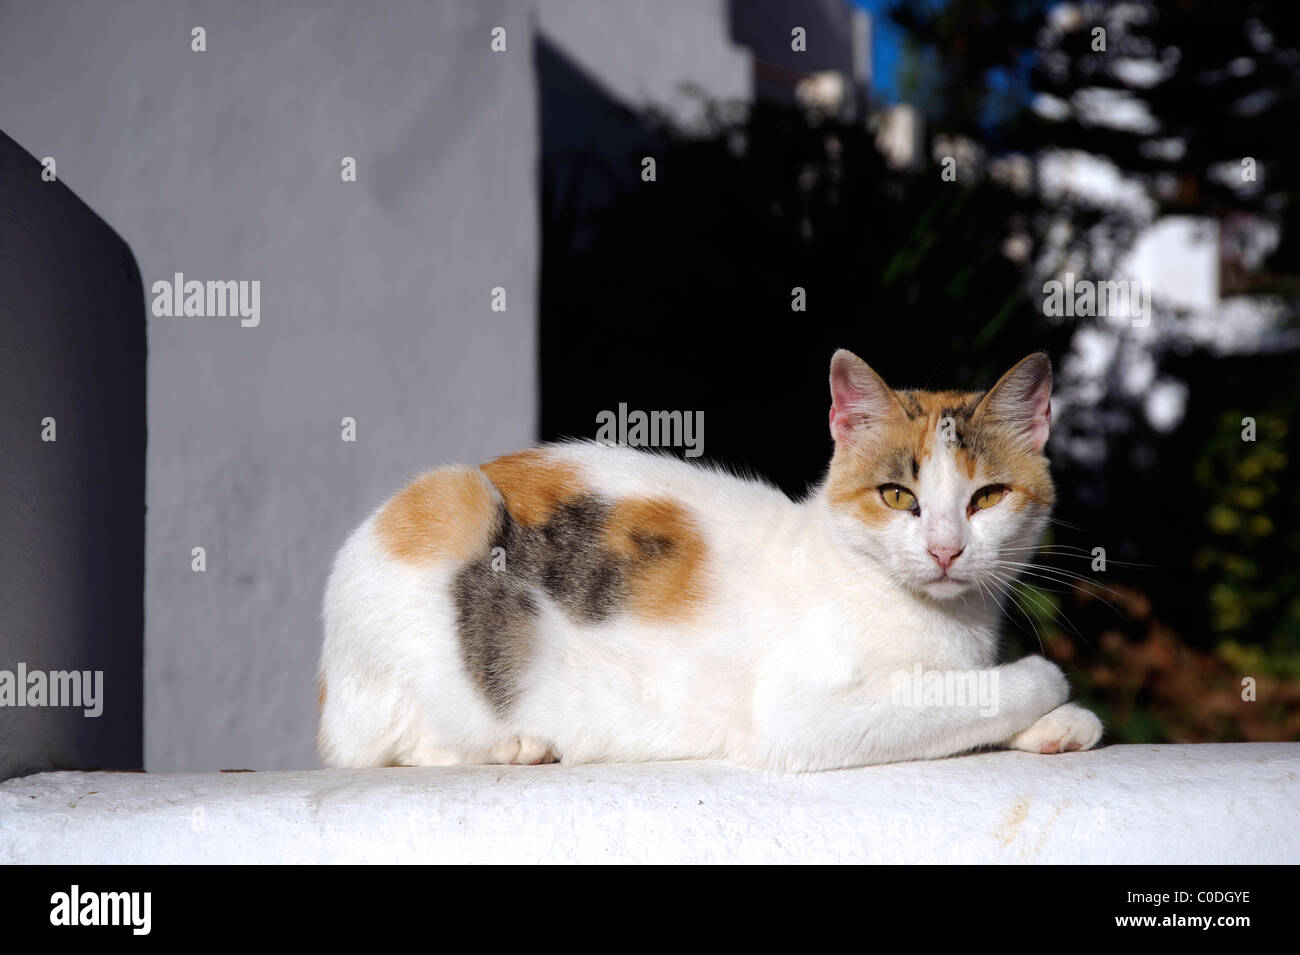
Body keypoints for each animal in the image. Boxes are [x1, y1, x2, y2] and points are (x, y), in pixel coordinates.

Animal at [319, 348, 1102, 774]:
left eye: (987, 496)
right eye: (897, 495)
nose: (945, 548)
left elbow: (968, 697)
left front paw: (1058, 726)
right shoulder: (796, 716)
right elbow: (975, 695)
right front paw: (1050, 690)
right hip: (449, 507)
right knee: (397, 746)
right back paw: (519, 746)